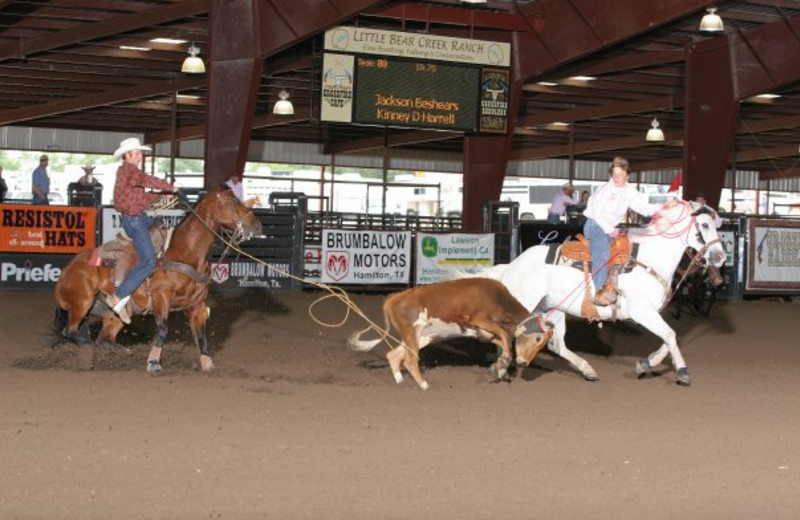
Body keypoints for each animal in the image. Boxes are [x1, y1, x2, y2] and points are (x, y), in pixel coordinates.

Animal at [54, 189, 266, 372]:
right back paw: (88, 350)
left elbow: (201, 336)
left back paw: (121, 352)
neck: (185, 252)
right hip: (82, 303)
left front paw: (207, 364)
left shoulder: (197, 305)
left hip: (113, 314)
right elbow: (163, 329)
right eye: (233, 201)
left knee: (104, 338)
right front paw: (154, 361)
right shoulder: (160, 297)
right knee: (71, 332)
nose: (258, 225)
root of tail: (68, 269)